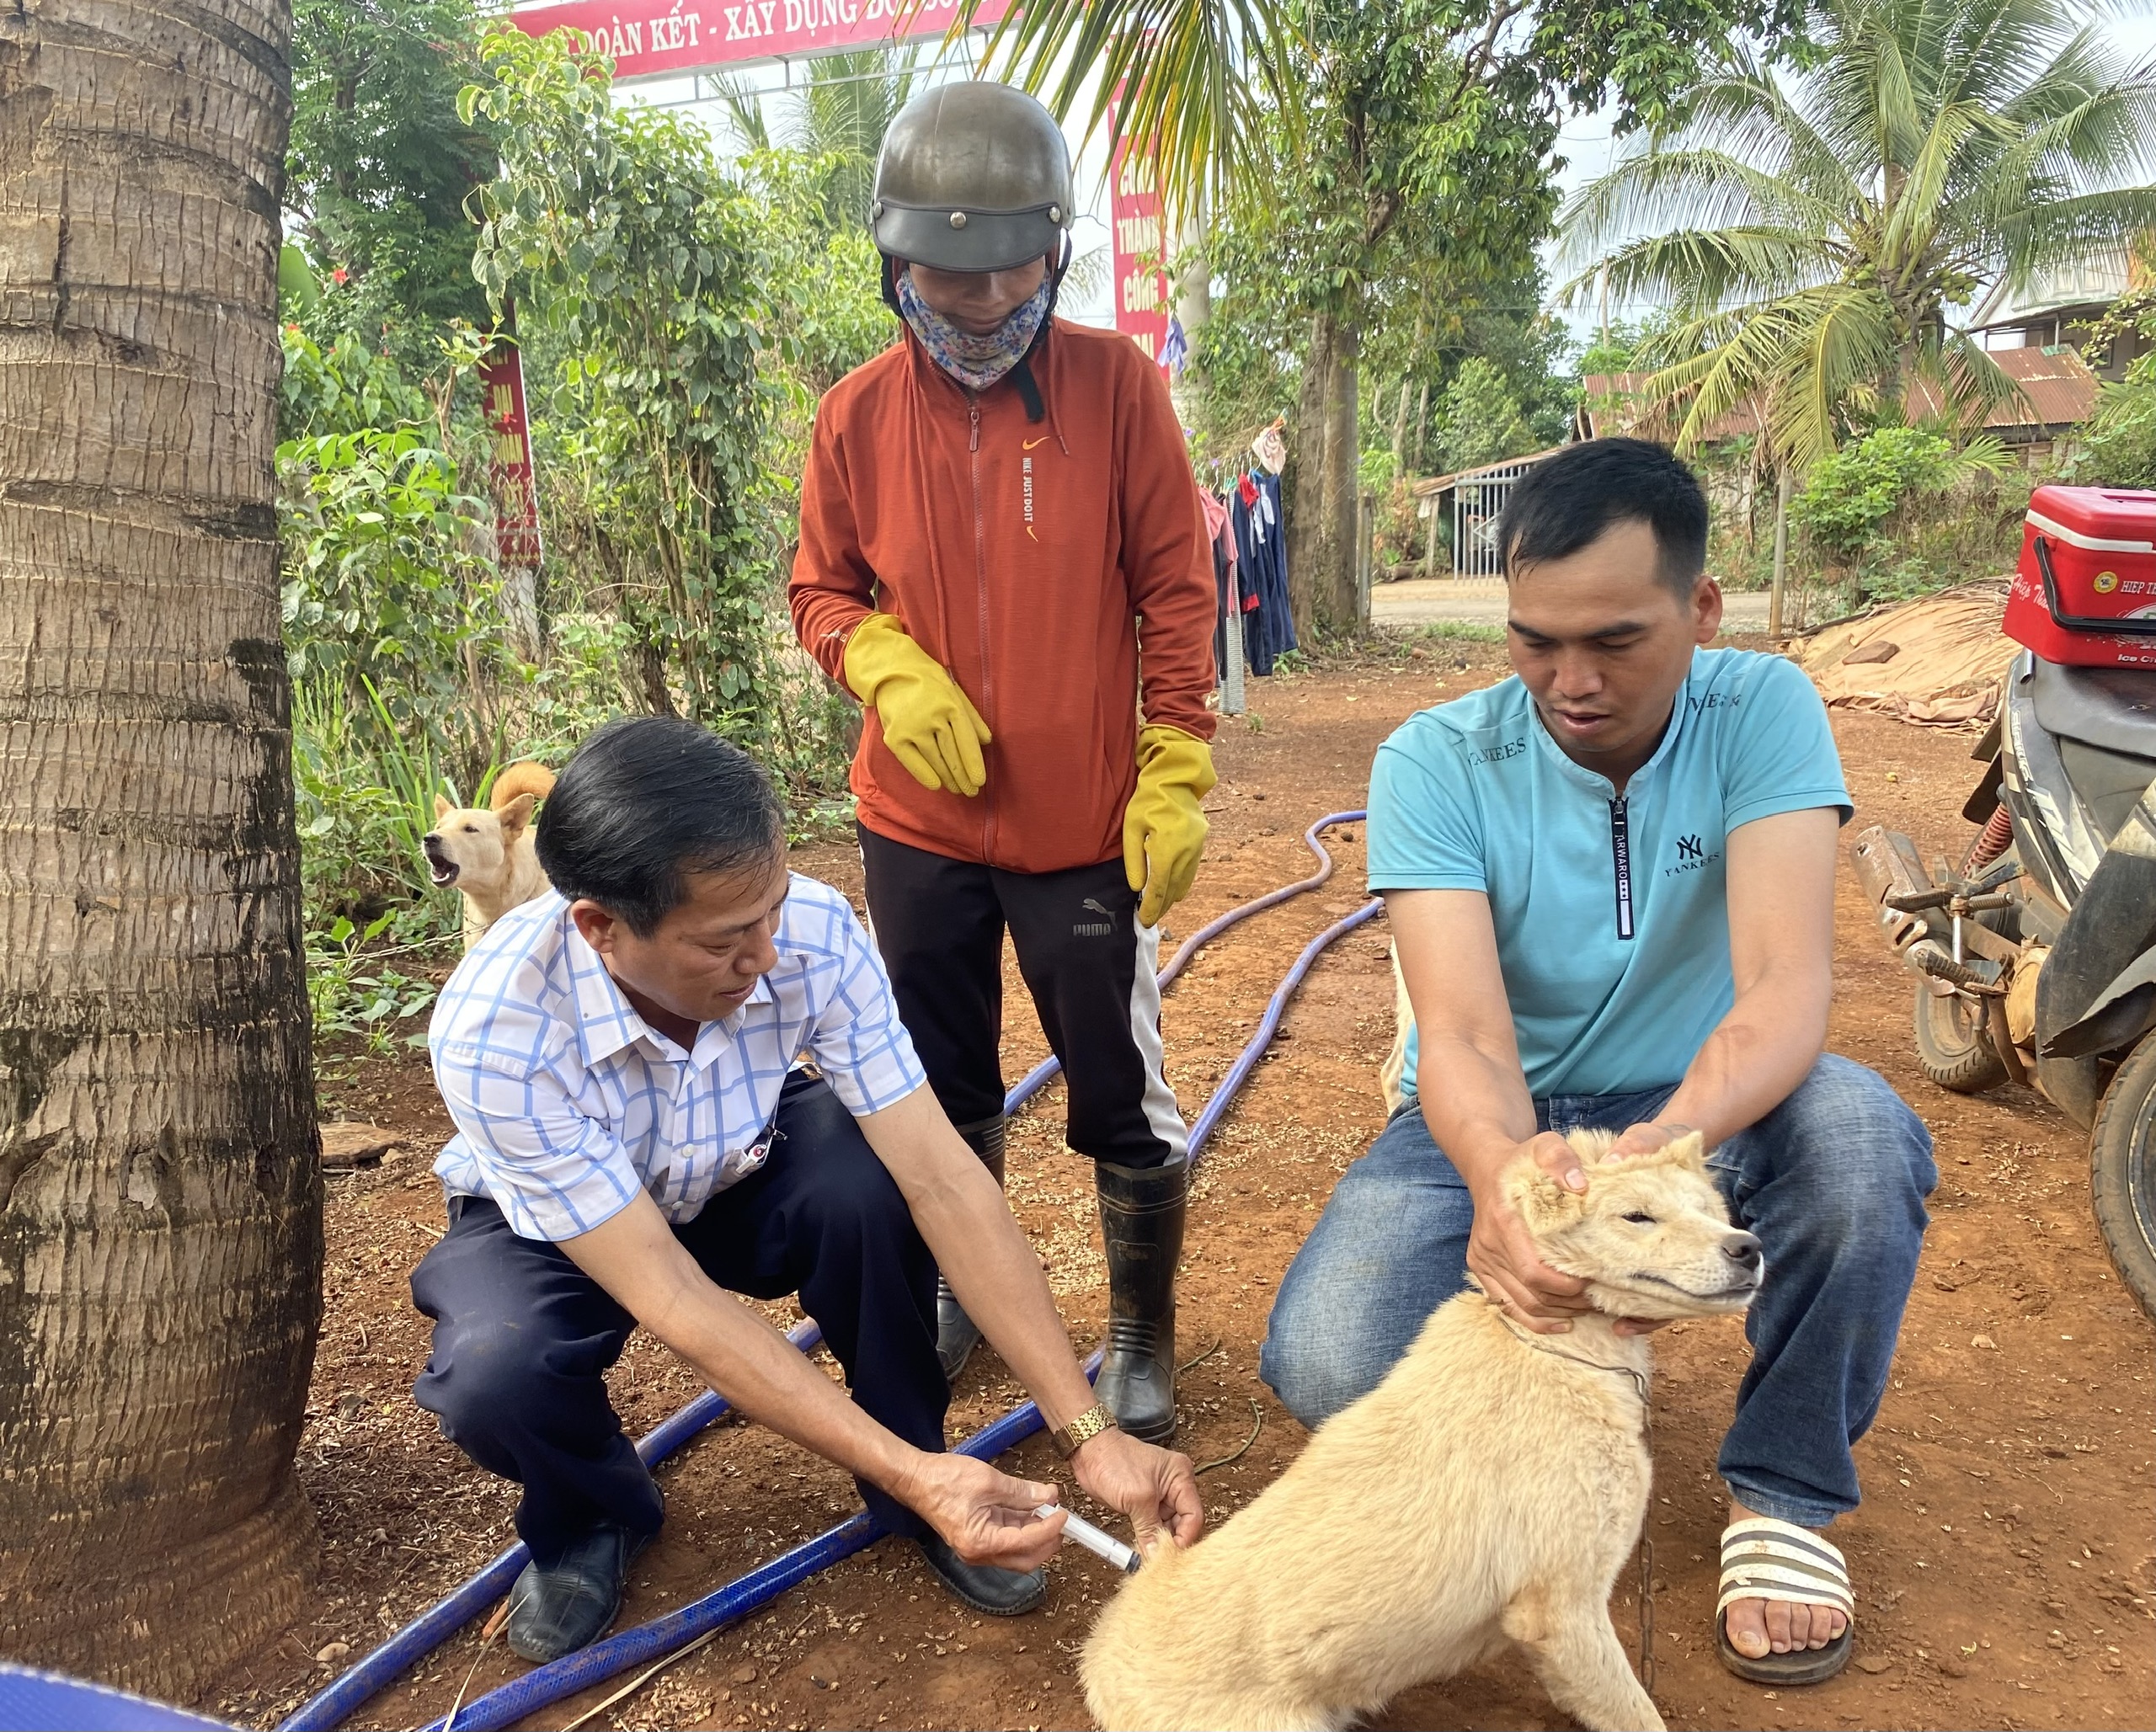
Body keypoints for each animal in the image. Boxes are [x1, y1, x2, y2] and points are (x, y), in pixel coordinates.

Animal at [1086, 1128, 1758, 1723]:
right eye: (1636, 1216)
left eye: (1709, 1209)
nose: (1747, 1247)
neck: (1551, 1348)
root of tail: (1104, 1652)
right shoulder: (1561, 1609)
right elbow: (1636, 1713)